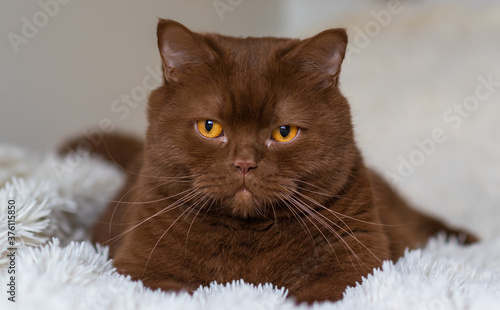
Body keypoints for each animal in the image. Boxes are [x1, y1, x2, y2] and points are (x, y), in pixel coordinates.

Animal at [68, 18, 478, 302]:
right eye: (210, 127)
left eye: (284, 132)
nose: (245, 163)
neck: (247, 243)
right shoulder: (143, 268)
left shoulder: (352, 266)